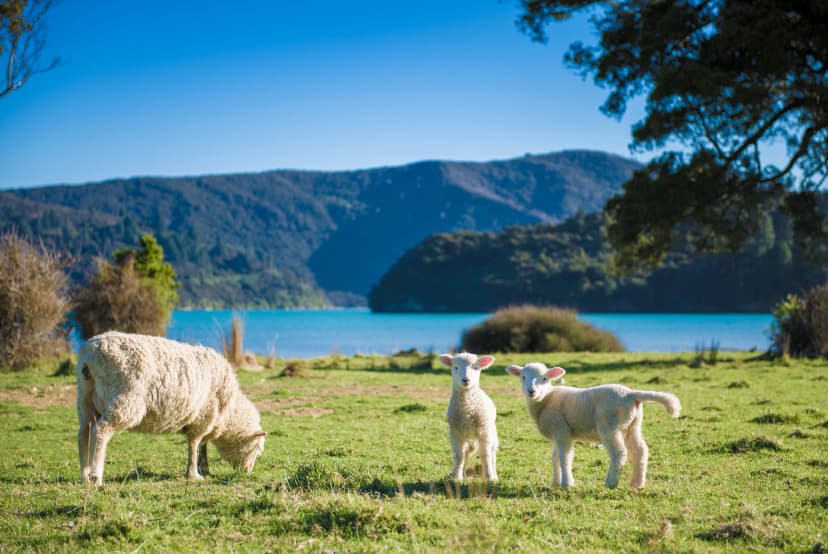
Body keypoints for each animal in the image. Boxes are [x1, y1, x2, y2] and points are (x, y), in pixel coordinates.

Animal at [76, 331, 266, 485]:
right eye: (257, 449)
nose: (247, 472)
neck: (229, 412)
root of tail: (89, 354)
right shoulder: (203, 417)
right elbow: (194, 445)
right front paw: (194, 474)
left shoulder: (205, 421)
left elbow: (202, 446)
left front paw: (204, 468)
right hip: (125, 399)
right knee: (101, 431)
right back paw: (96, 477)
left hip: (86, 401)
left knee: (84, 434)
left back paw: (85, 477)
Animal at [440, 352, 499, 481]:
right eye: (455, 367)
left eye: (476, 368)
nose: (466, 380)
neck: (467, 409)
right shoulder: (455, 433)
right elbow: (458, 455)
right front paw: (457, 477)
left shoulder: (484, 432)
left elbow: (485, 455)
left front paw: (489, 477)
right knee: (465, 453)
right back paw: (458, 473)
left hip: (491, 434)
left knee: (492, 454)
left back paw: (494, 474)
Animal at [505, 362, 680, 489]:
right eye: (523, 377)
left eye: (544, 378)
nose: (531, 391)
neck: (546, 399)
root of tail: (631, 395)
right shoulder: (556, 434)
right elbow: (554, 458)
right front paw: (555, 483)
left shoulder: (562, 431)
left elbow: (564, 457)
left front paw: (567, 484)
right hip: (632, 424)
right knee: (640, 450)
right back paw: (637, 483)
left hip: (609, 425)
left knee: (619, 453)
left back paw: (610, 483)